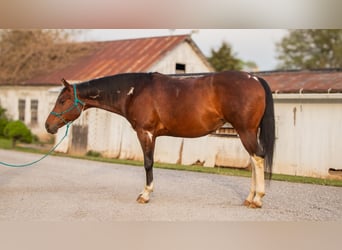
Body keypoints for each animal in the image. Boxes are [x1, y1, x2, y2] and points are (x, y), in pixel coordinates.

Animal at [45, 71, 276, 208]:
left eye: (63, 100)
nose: (48, 125)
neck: (134, 91)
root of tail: (255, 79)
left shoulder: (145, 133)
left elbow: (148, 163)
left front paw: (145, 195)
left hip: (245, 131)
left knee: (258, 157)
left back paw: (257, 199)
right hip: (248, 131)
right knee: (255, 160)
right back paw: (249, 198)